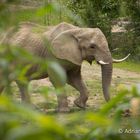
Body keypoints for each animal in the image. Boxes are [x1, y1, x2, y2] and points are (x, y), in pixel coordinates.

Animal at [0, 21, 130, 111]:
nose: (125, 111)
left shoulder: (74, 57)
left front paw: (79, 105)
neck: (78, 30)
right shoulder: (52, 54)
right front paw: (64, 111)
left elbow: (73, 78)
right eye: (92, 46)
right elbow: (57, 78)